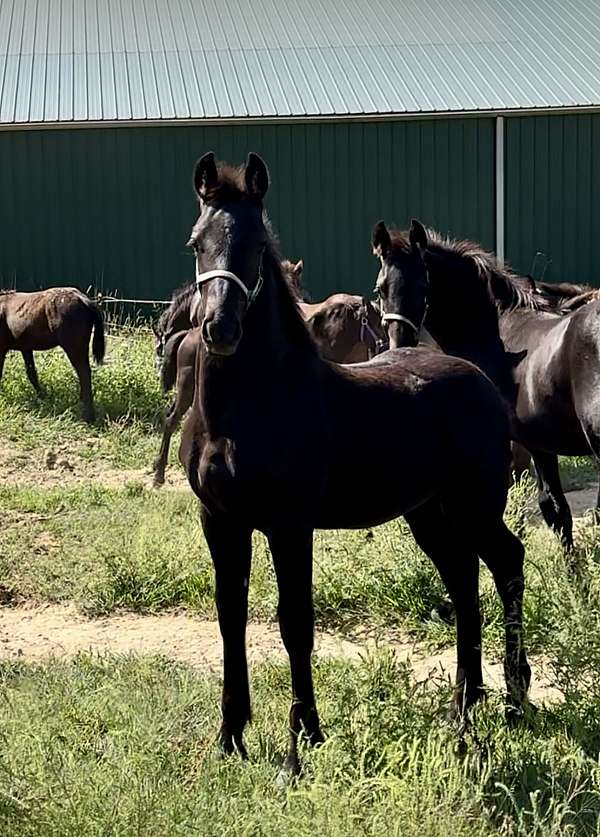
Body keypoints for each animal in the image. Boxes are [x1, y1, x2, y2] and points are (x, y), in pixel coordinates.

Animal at [0, 288, 105, 422]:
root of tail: (83, 298)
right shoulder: (26, 348)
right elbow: (32, 373)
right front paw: (43, 397)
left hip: (73, 347)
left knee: (84, 373)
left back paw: (88, 416)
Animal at [177, 152, 528, 776]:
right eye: (197, 242)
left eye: (255, 244)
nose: (220, 328)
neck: (250, 407)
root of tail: (480, 378)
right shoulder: (220, 522)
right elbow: (229, 616)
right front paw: (231, 736)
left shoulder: (289, 525)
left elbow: (295, 621)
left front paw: (304, 742)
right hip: (429, 513)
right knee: (464, 580)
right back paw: (463, 708)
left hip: (475, 505)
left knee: (506, 564)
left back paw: (513, 698)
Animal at [370, 219, 600, 552]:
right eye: (380, 289)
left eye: (424, 286)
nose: (401, 343)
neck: (493, 333)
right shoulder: (540, 443)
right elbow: (556, 510)